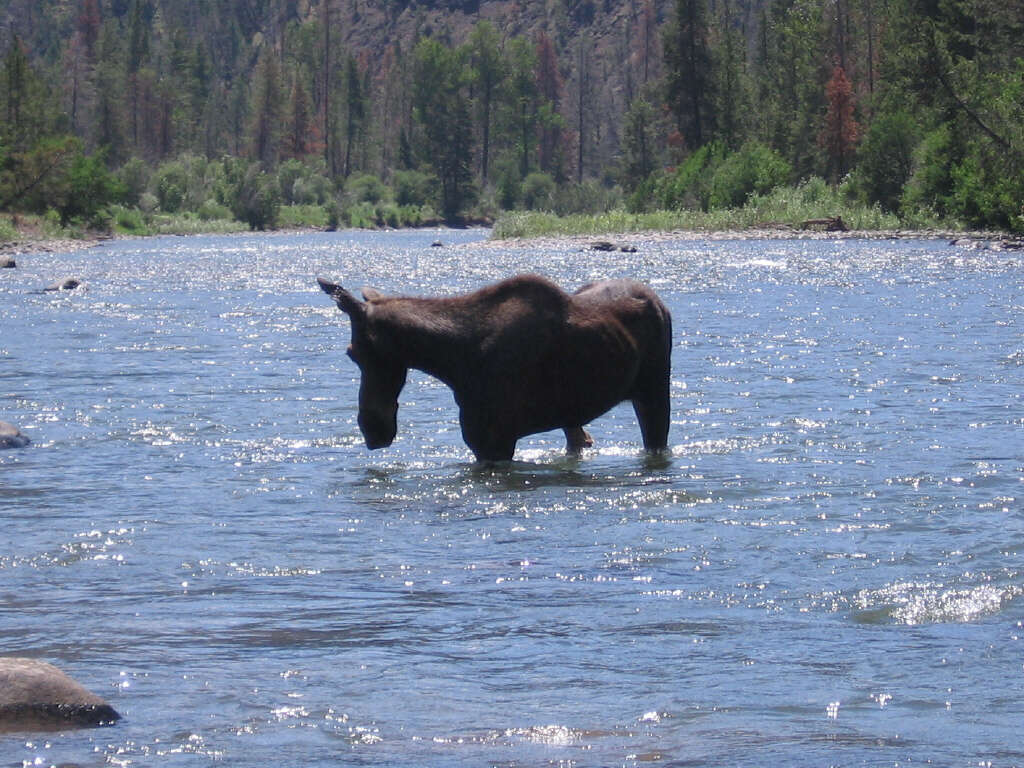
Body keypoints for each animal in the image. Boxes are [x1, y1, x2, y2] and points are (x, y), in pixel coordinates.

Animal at [319, 274, 671, 462]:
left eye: (353, 354)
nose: (371, 431)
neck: (453, 363)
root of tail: (661, 303)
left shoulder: (496, 441)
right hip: (574, 415)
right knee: (580, 441)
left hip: (655, 396)